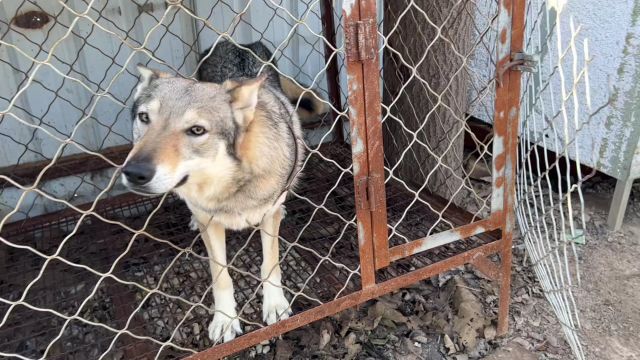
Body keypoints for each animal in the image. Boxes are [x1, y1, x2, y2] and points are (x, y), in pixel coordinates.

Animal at [123, 59, 308, 344]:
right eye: (144, 118)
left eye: (197, 130)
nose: (134, 172)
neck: (229, 188)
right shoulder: (210, 224)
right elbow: (221, 277)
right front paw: (225, 320)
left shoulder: (267, 218)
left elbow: (270, 265)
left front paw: (275, 306)